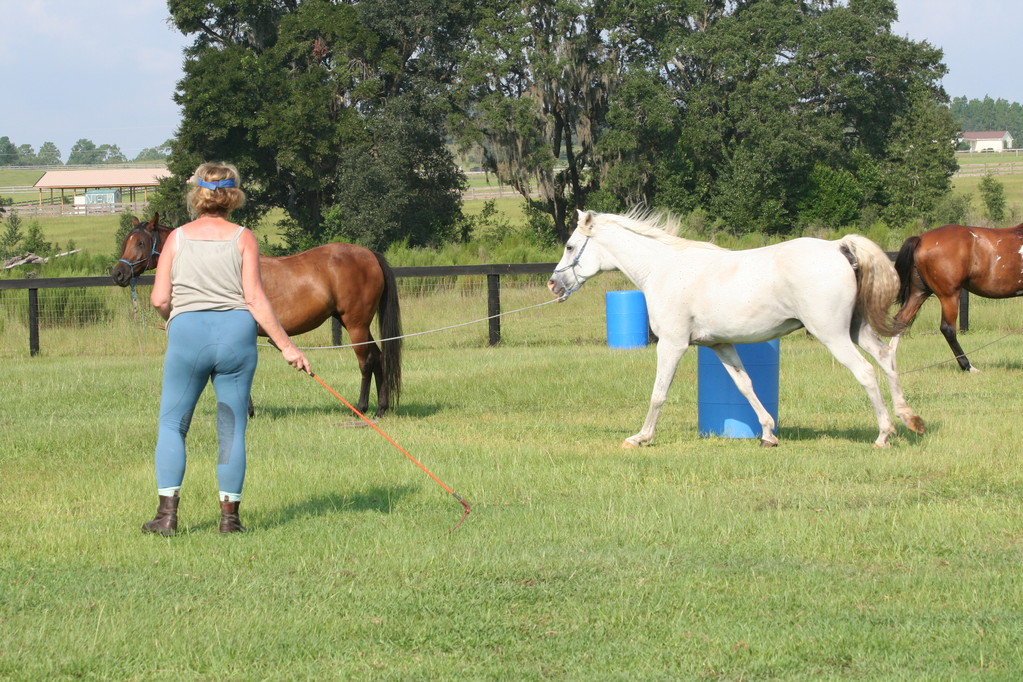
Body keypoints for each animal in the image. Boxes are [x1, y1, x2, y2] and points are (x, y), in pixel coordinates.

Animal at [111, 214, 402, 417]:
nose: (117, 274)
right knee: (378, 357)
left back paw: (363, 408)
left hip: (355, 324)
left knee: (367, 361)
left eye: (140, 242)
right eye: (127, 241)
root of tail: (369, 254)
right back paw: (381, 407)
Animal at [547, 208, 925, 448]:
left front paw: (640, 437)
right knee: (885, 359)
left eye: (569, 246)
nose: (553, 284)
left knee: (865, 371)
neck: (663, 269)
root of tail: (837, 247)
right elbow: (745, 386)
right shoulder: (721, 346)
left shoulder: (671, 344)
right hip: (855, 329)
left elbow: (658, 393)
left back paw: (884, 434)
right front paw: (768, 434)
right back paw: (910, 419)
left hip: (831, 334)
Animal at [892, 222, 1023, 372]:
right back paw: (968, 366)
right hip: (949, 296)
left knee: (901, 320)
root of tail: (921, 239)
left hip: (919, 292)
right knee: (948, 329)